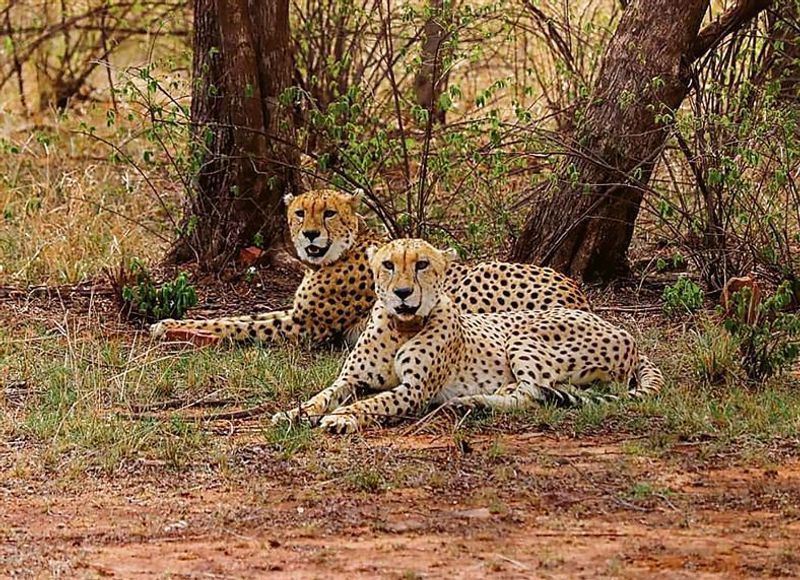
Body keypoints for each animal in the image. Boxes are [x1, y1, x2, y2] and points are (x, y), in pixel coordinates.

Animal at [150, 188, 589, 346]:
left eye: (328, 213)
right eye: (299, 213)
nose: (309, 235)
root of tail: (577, 292)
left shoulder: (306, 325)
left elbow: (238, 323)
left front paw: (174, 328)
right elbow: (243, 316)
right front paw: (170, 323)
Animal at [272, 238, 665, 434]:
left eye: (422, 264)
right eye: (388, 265)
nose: (402, 293)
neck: (402, 326)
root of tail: (624, 332)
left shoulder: (414, 391)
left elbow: (373, 403)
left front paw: (343, 418)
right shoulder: (352, 379)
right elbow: (322, 396)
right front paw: (294, 413)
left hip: (522, 337)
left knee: (533, 394)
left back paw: (473, 401)